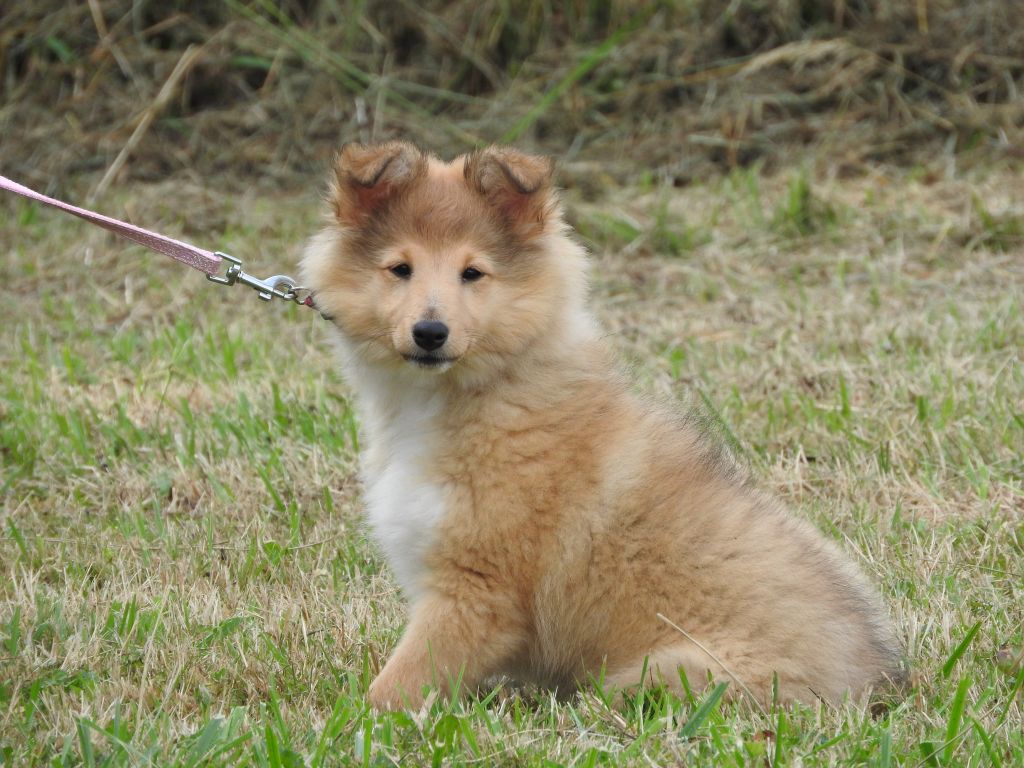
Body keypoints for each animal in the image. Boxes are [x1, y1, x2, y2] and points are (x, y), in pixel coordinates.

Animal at [301, 143, 905, 708]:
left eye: (472, 273)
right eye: (399, 269)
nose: (430, 332)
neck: (479, 391)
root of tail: (874, 683)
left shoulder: (476, 593)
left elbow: (395, 685)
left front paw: (357, 723)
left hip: (662, 674)